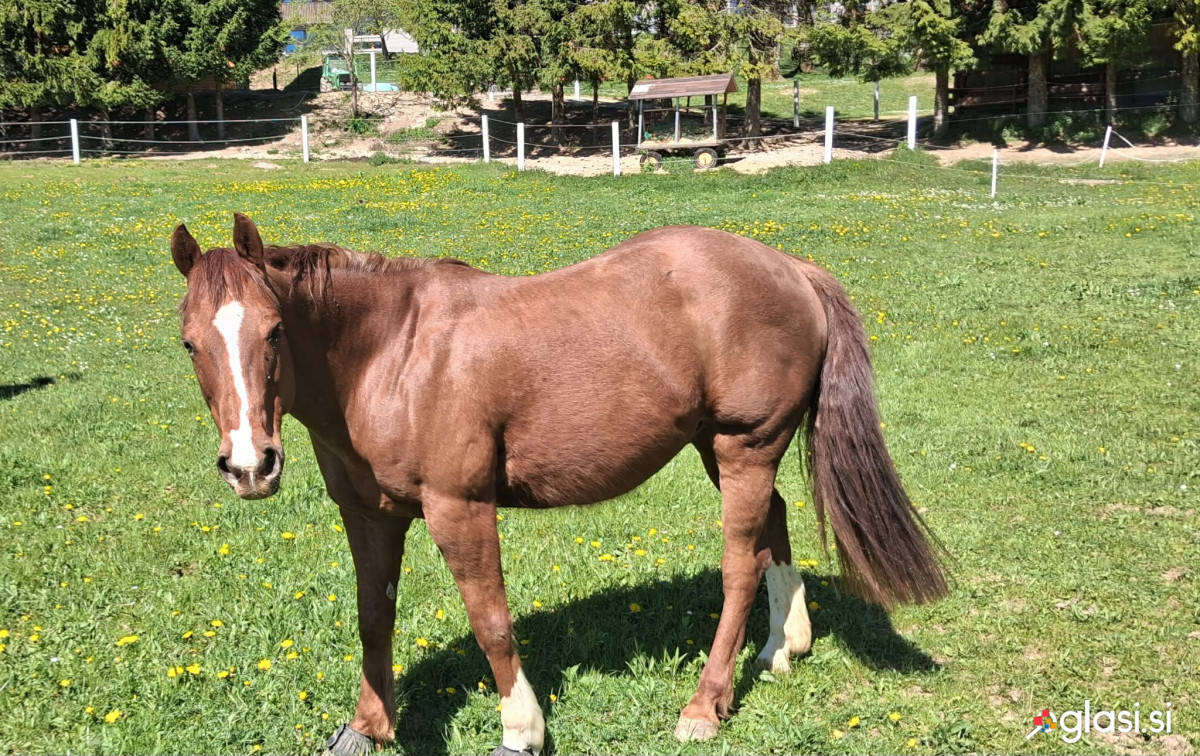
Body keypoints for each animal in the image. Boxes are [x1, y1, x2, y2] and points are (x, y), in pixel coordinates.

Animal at [170, 214, 947, 756]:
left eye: (274, 332)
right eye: (189, 343)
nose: (250, 465)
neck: (392, 355)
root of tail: (790, 266)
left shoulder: (459, 510)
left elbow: (490, 621)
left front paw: (522, 729)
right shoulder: (369, 514)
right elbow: (373, 617)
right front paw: (369, 725)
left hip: (745, 447)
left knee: (738, 567)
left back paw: (704, 705)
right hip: (721, 447)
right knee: (775, 527)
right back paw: (784, 646)